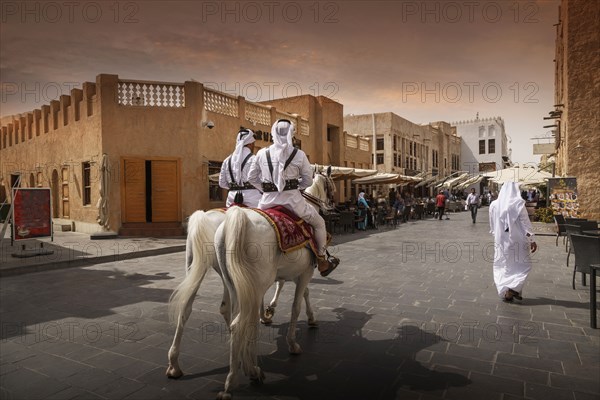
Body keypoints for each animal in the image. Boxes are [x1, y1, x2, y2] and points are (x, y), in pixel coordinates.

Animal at [166, 170, 336, 382]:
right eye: (331, 185)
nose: (332, 206)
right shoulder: (302, 270)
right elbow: (298, 299)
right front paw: (297, 329)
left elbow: (285, 290)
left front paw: (269, 313)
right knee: (241, 314)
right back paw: (248, 364)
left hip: (202, 270)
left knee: (194, 309)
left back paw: (176, 364)